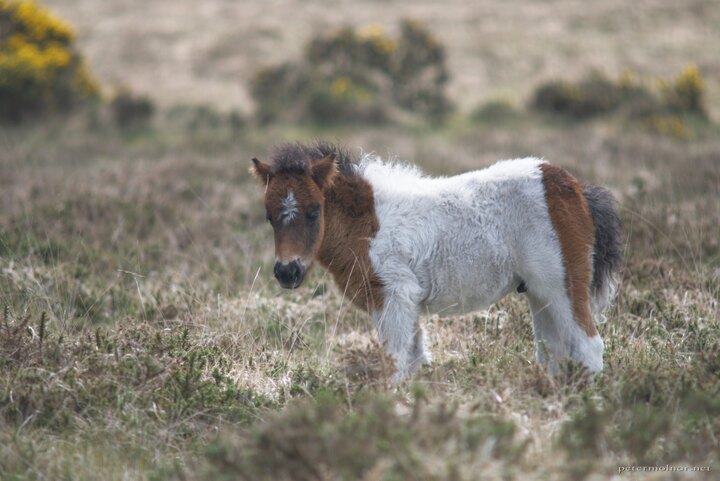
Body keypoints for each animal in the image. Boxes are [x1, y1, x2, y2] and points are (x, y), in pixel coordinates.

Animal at [250, 141, 620, 380]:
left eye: (315, 211)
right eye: (268, 216)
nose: (287, 272)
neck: (367, 223)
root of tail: (573, 187)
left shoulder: (394, 295)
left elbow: (396, 362)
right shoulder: (405, 302)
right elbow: (414, 359)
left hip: (563, 284)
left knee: (589, 345)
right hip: (539, 294)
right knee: (554, 351)